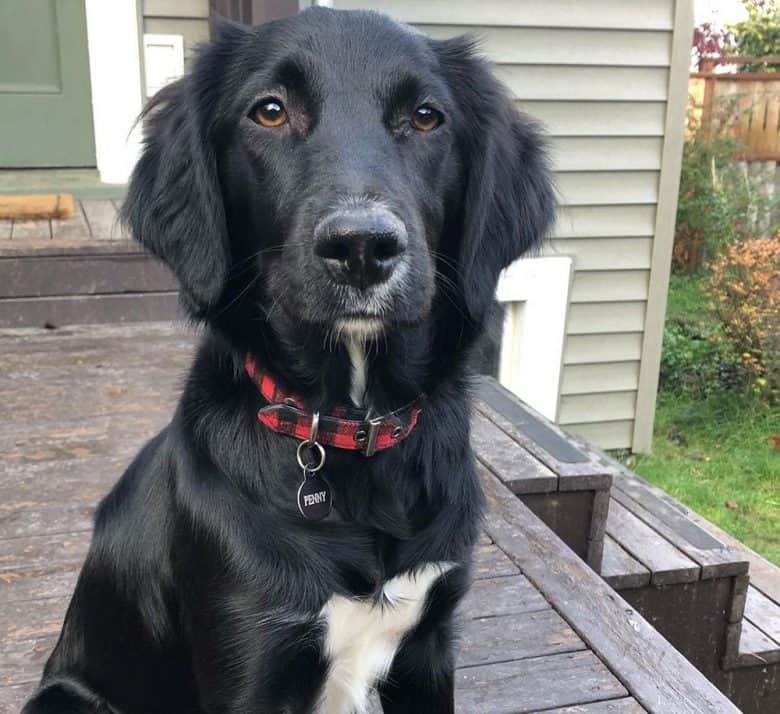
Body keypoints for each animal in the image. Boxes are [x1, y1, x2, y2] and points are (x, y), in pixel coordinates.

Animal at [22, 6, 556, 712]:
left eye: (426, 117)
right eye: (270, 111)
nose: (362, 248)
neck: (352, 435)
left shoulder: (428, 648)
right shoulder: (251, 657)